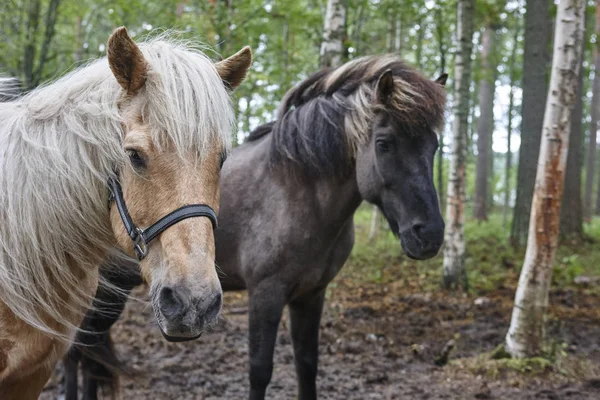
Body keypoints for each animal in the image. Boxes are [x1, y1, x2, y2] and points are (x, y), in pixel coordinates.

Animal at [62, 55, 446, 400]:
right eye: (384, 143)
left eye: (435, 146)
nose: (429, 235)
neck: (297, 188)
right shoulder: (266, 293)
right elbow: (260, 370)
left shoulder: (311, 294)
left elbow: (307, 365)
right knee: (74, 353)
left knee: (90, 353)